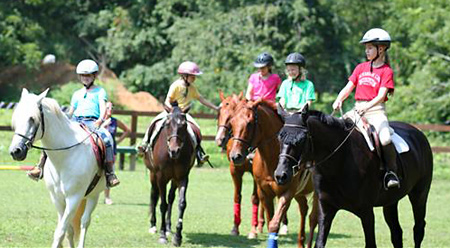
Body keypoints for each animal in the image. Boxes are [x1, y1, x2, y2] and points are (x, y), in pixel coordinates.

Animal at [8, 89, 105, 248]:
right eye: (16, 118)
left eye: (32, 119)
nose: (15, 151)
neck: (64, 156)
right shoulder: (57, 198)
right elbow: (67, 230)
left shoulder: (73, 198)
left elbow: (60, 232)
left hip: (93, 195)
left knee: (85, 222)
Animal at [142, 103, 195, 246]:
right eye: (167, 124)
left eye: (184, 125)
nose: (174, 150)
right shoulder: (161, 177)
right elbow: (162, 204)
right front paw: (162, 235)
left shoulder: (183, 177)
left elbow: (181, 203)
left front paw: (177, 236)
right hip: (153, 175)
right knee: (154, 196)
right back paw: (153, 226)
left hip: (174, 179)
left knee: (171, 197)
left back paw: (168, 227)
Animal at [227, 100, 318, 247]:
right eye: (232, 122)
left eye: (250, 123)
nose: (235, 156)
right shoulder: (265, 193)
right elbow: (270, 221)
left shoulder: (287, 193)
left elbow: (274, 223)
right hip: (299, 193)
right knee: (304, 208)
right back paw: (300, 241)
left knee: (313, 218)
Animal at [274, 105, 432, 248]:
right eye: (279, 137)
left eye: (301, 139)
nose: (281, 175)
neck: (339, 162)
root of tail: (418, 133)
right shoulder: (326, 209)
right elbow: (319, 243)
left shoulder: (366, 211)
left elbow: (371, 244)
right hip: (390, 201)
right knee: (396, 232)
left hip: (419, 194)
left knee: (418, 228)